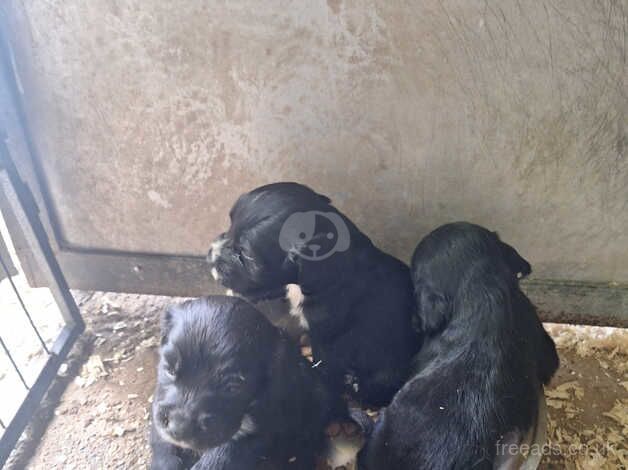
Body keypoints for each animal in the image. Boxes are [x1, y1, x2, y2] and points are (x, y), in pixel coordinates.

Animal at [150, 298, 346, 470]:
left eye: (233, 387)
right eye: (169, 369)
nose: (179, 428)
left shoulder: (259, 430)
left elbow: (219, 459)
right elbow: (163, 447)